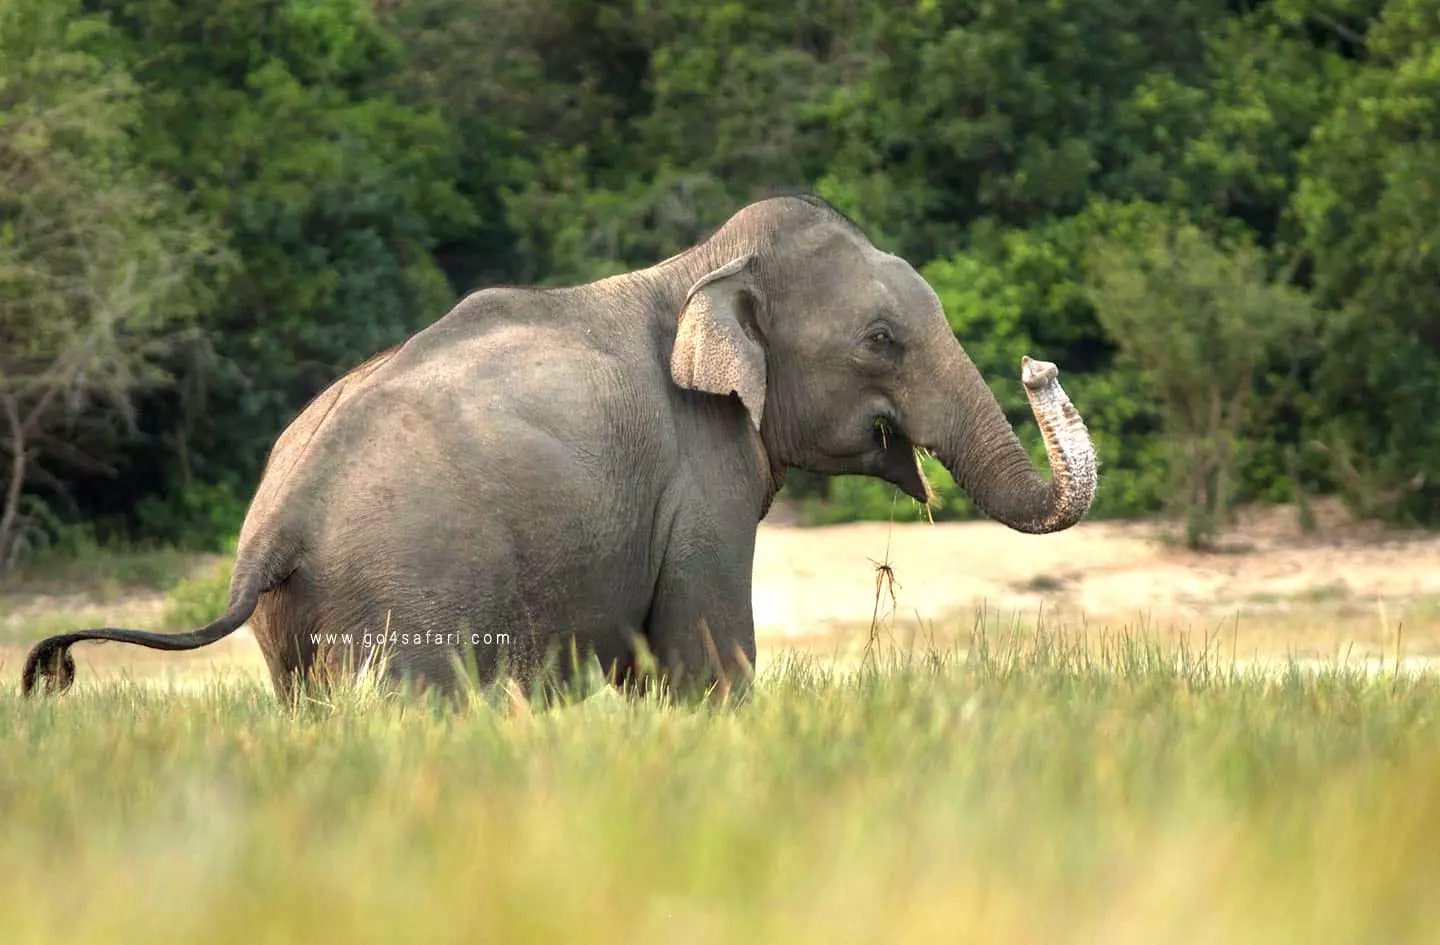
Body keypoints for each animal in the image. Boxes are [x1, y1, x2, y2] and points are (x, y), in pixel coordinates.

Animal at [16, 195, 1094, 700]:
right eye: (880, 340)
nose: (1040, 366)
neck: (703, 265)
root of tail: (278, 516)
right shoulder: (698, 477)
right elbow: (705, 658)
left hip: (301, 624)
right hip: (409, 590)